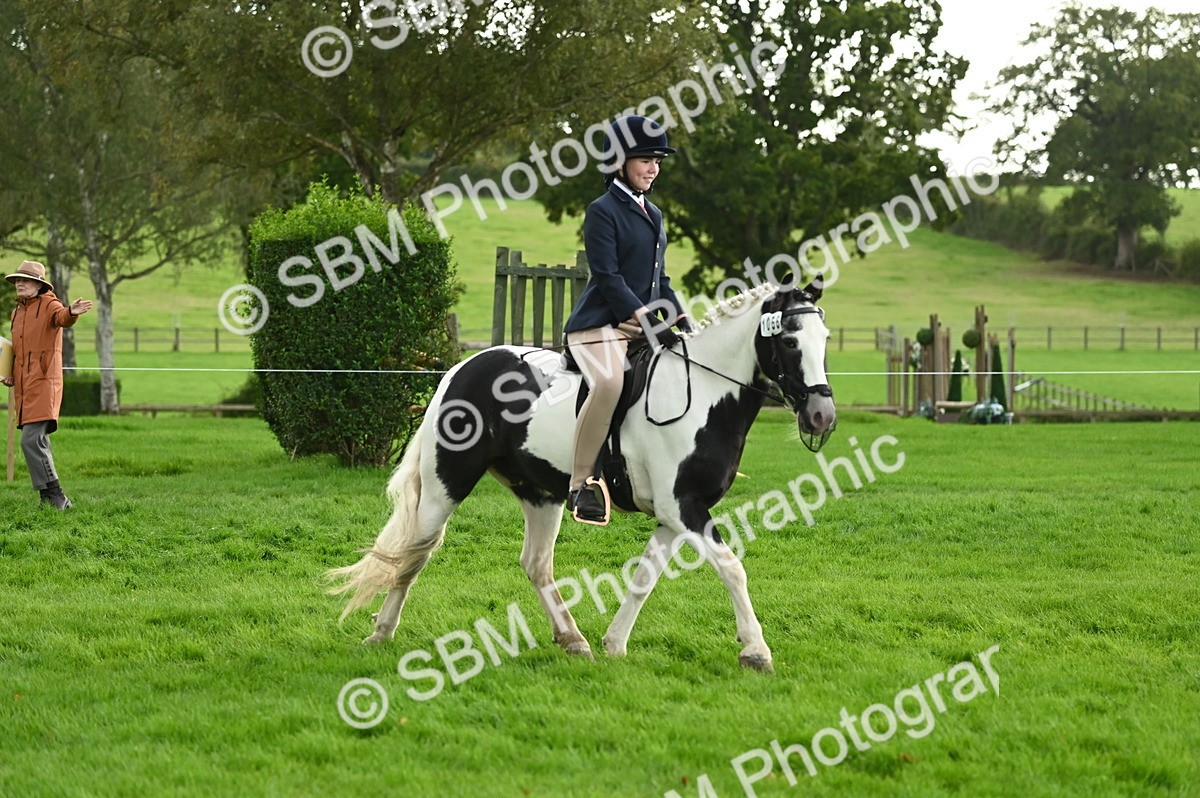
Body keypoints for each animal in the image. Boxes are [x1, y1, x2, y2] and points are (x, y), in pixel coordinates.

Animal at [326, 277, 836, 671]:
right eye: (789, 340)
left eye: (826, 338)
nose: (822, 416)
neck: (705, 393)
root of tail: (462, 367)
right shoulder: (684, 509)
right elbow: (732, 568)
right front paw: (756, 651)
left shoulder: (676, 514)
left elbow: (644, 578)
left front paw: (614, 644)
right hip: (445, 486)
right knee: (415, 554)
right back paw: (381, 634)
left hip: (541, 494)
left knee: (535, 564)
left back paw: (573, 640)